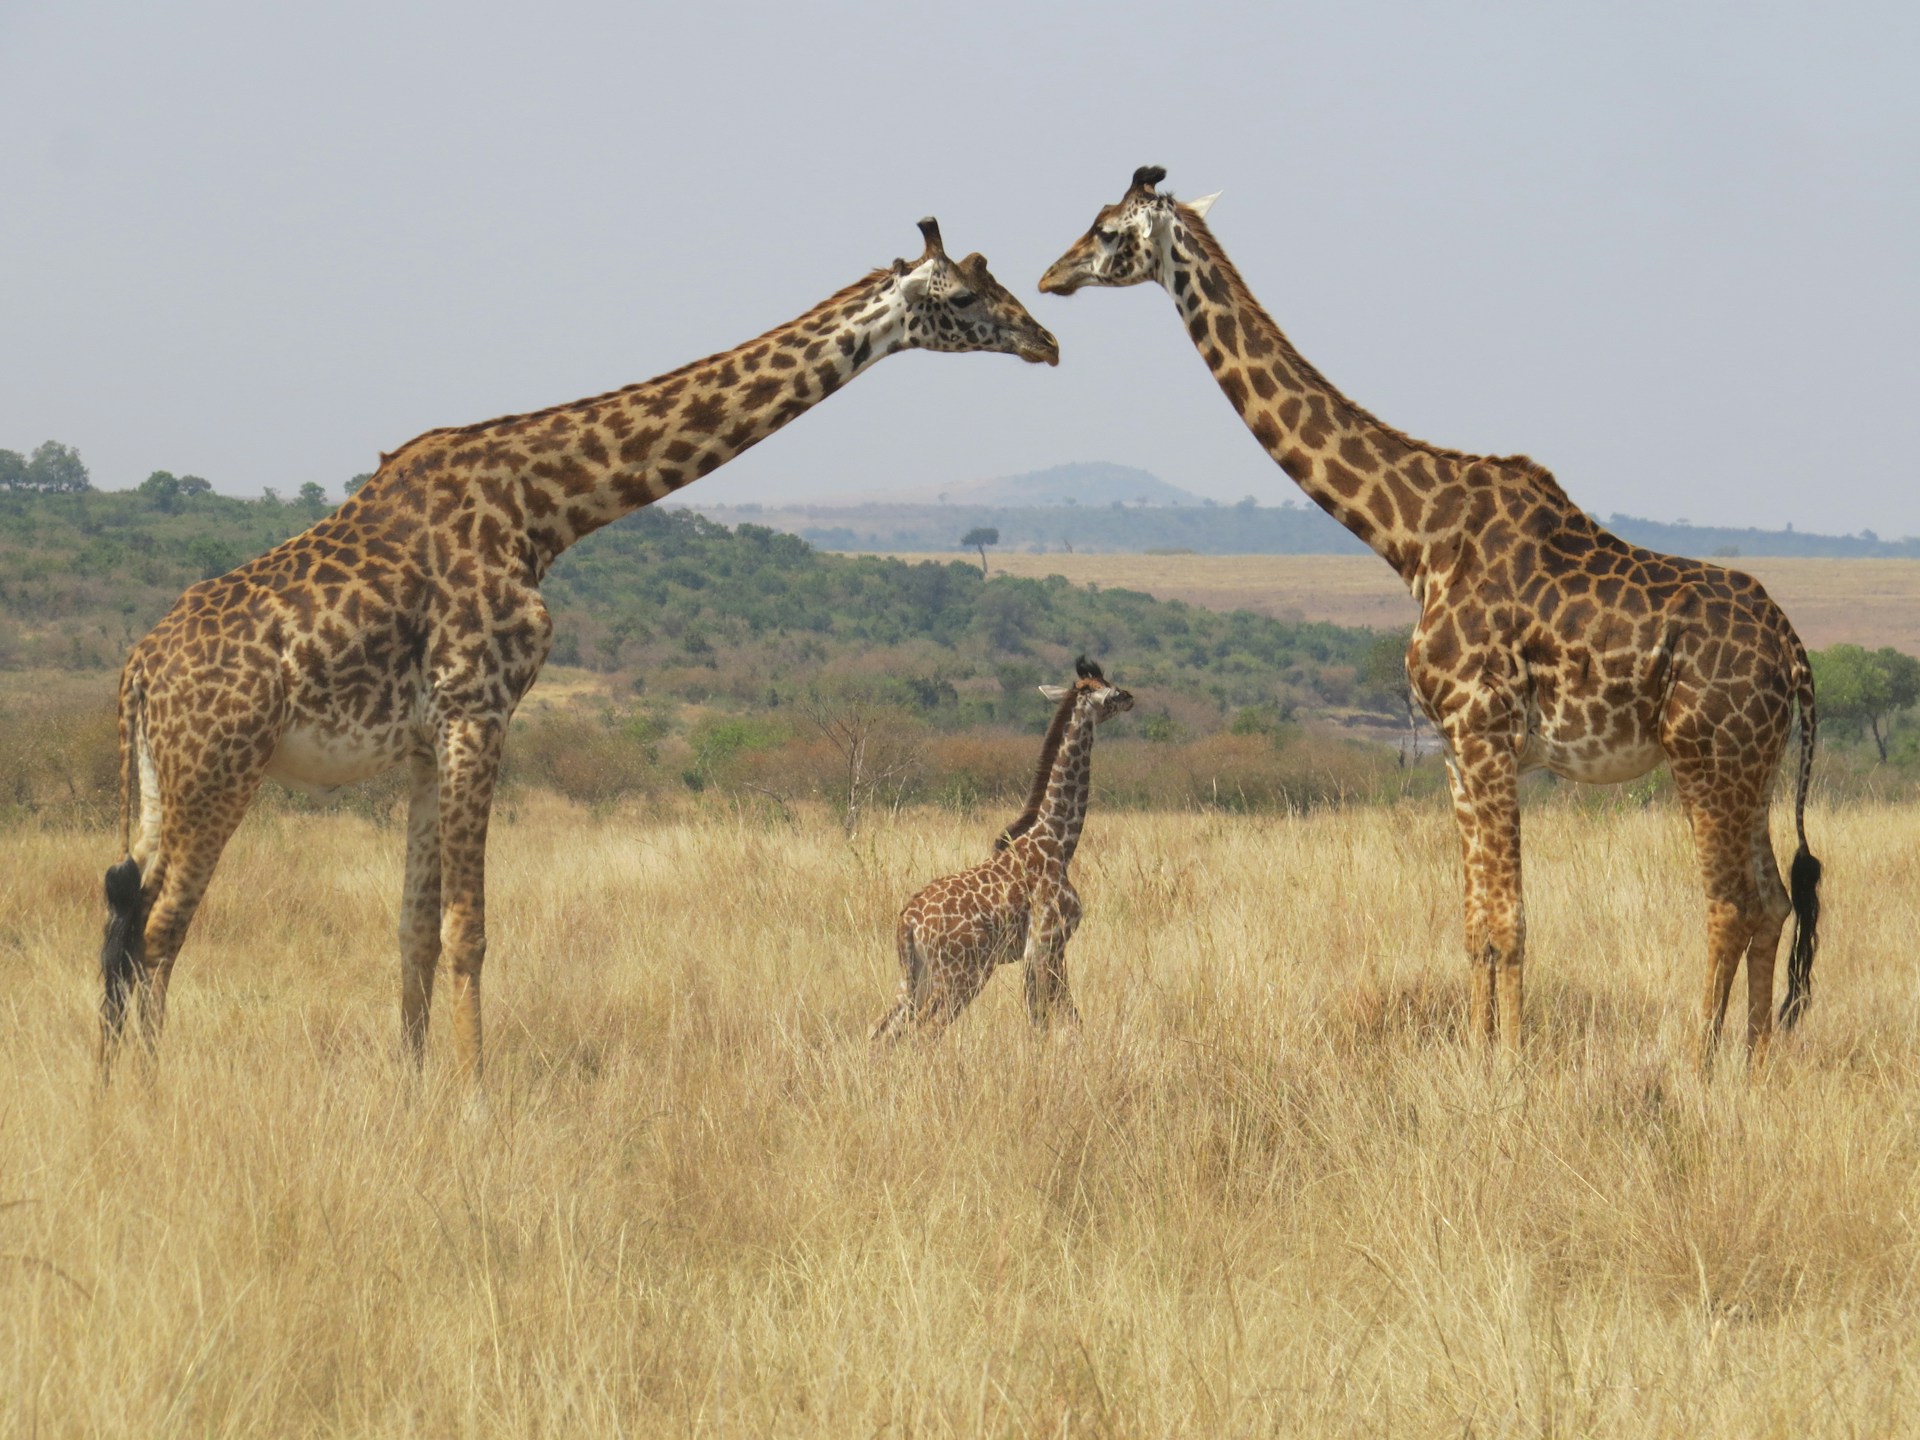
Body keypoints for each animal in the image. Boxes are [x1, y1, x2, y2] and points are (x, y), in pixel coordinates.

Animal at [101, 219, 1067, 1075]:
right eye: (964, 294)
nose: (1046, 340)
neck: (544, 507)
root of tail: (139, 674)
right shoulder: (479, 708)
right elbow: (468, 930)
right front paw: (474, 1103)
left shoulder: (424, 741)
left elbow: (414, 931)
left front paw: (414, 1092)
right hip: (222, 769)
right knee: (160, 929)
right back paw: (152, 1091)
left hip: (157, 783)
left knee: (121, 910)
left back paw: (114, 1087)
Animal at [871, 660, 1121, 1044]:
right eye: (1113, 692)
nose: (1131, 697)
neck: (1058, 841)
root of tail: (907, 922)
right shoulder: (1049, 943)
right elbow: (1065, 1017)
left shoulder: (1037, 952)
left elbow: (1041, 1018)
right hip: (962, 974)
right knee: (924, 1033)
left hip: (915, 978)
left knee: (881, 1031)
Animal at [1044, 171, 1820, 1075]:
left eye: (1106, 230)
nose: (1051, 276)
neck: (1414, 537)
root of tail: (1795, 653)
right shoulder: (1454, 746)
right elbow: (1476, 923)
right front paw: (1479, 1055)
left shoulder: (1486, 733)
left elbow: (1511, 922)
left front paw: (1513, 1065)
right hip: (1753, 763)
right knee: (1772, 900)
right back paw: (1756, 1062)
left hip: (1707, 756)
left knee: (1729, 903)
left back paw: (1698, 1063)